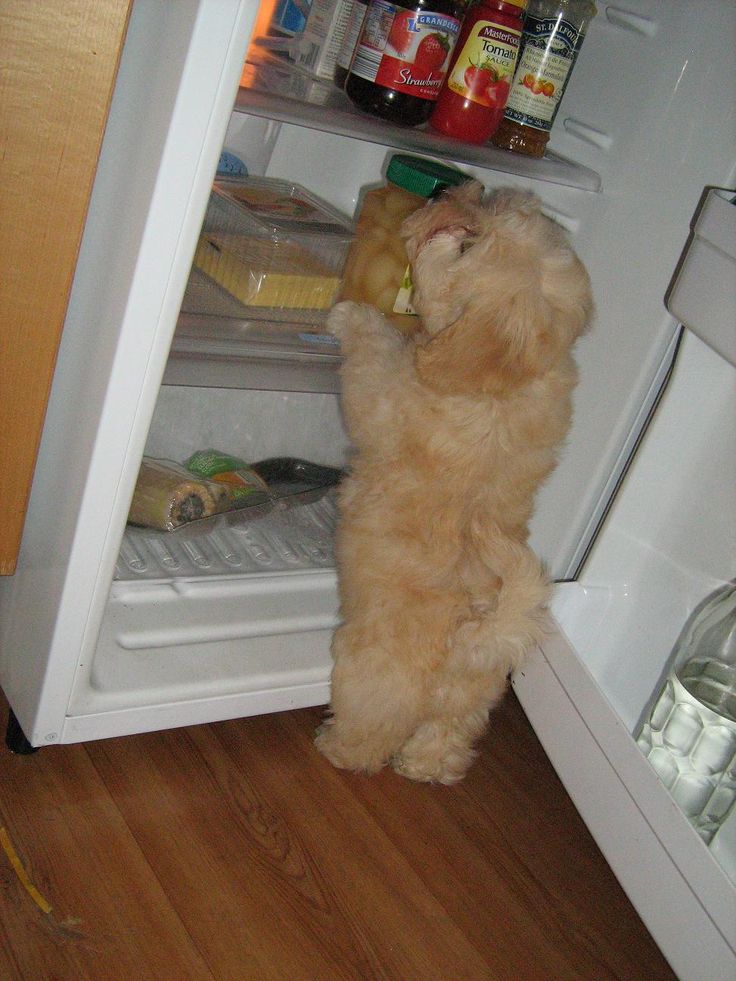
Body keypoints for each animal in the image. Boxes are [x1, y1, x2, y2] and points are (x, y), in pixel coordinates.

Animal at [314, 180, 592, 784]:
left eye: (465, 246)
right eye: (487, 209)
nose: (457, 189)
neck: (510, 382)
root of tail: (476, 642)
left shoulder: (385, 393)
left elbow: (372, 351)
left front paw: (350, 314)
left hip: (372, 676)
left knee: (372, 730)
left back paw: (337, 748)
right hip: (469, 700)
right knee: (444, 739)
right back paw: (423, 767)